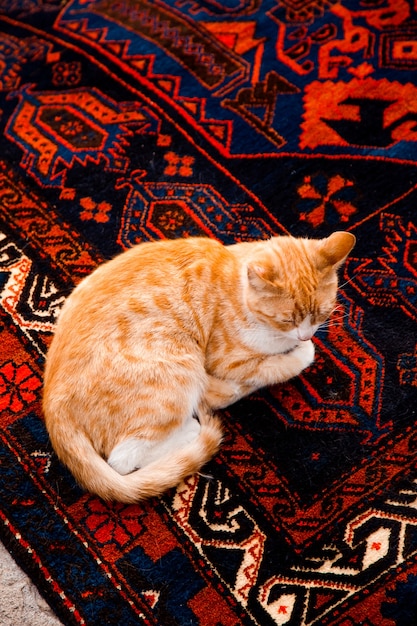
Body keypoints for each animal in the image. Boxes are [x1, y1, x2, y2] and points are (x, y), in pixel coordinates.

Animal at [42, 232, 354, 500]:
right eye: (287, 319)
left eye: (322, 314)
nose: (305, 335)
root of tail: (53, 407)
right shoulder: (229, 361)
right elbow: (277, 367)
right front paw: (302, 352)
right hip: (177, 374)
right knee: (122, 459)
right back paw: (191, 428)